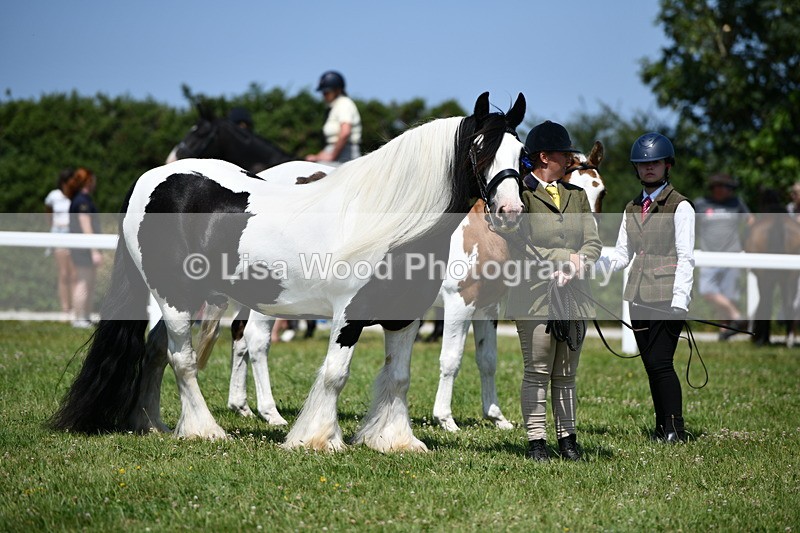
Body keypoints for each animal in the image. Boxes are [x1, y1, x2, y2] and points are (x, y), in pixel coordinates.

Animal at [50, 92, 528, 453]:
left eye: (522, 156)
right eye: (480, 148)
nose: (509, 212)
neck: (393, 224)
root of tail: (151, 177)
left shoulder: (404, 317)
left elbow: (399, 377)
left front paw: (393, 440)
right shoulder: (349, 316)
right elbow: (335, 375)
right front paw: (317, 439)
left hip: (187, 297)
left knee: (154, 351)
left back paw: (152, 423)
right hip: (175, 297)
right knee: (182, 359)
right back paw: (206, 430)